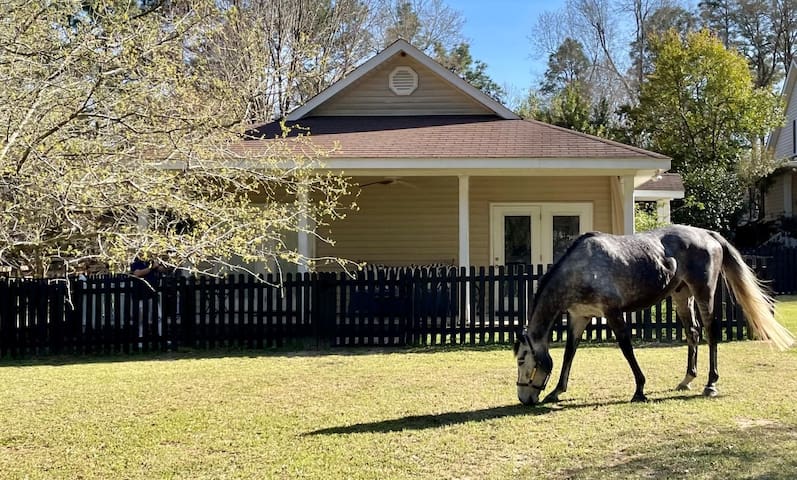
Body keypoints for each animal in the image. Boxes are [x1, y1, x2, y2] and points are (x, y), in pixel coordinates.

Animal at [512, 225, 792, 404]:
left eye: (522, 360)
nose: (524, 398)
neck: (580, 269)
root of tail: (708, 234)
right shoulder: (579, 317)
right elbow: (570, 353)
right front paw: (557, 391)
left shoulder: (613, 314)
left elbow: (626, 348)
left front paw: (639, 389)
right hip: (681, 295)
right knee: (692, 332)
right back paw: (687, 379)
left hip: (704, 292)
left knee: (711, 331)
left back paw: (710, 384)